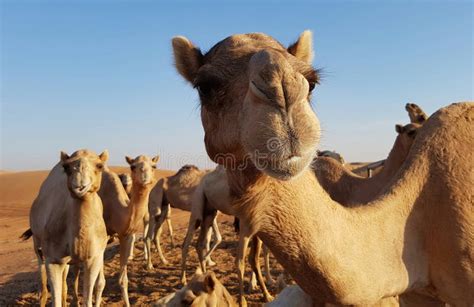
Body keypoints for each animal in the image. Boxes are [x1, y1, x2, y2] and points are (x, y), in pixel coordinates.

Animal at [24, 150, 108, 307]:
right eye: (66, 167)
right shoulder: (53, 259)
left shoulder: (94, 257)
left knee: (64, 284)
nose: (80, 183)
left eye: (100, 166)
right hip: (38, 244)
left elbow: (88, 298)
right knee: (42, 280)